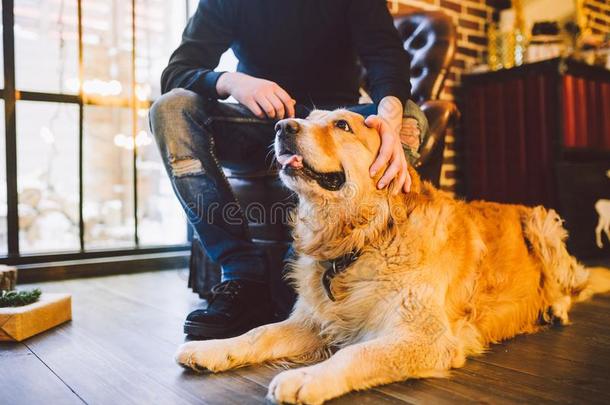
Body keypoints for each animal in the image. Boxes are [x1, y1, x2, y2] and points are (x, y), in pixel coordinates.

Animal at [175, 109, 608, 402]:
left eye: (342, 125)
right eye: (308, 118)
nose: (282, 126)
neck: (362, 239)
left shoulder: (424, 336)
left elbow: (357, 353)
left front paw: (308, 378)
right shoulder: (315, 320)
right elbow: (259, 332)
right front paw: (211, 349)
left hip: (542, 222)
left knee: (571, 285)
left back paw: (555, 308)